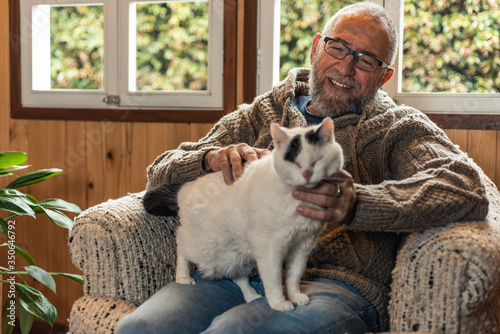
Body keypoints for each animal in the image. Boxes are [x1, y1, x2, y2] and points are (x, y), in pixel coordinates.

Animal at [176, 117, 344, 310]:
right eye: (294, 162)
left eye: (317, 160)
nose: (307, 173)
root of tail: (187, 187)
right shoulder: (269, 248)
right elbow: (274, 280)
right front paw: (279, 303)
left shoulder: (302, 246)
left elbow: (293, 277)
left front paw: (294, 297)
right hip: (204, 248)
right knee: (180, 246)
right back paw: (183, 277)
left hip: (235, 256)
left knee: (239, 277)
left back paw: (251, 296)